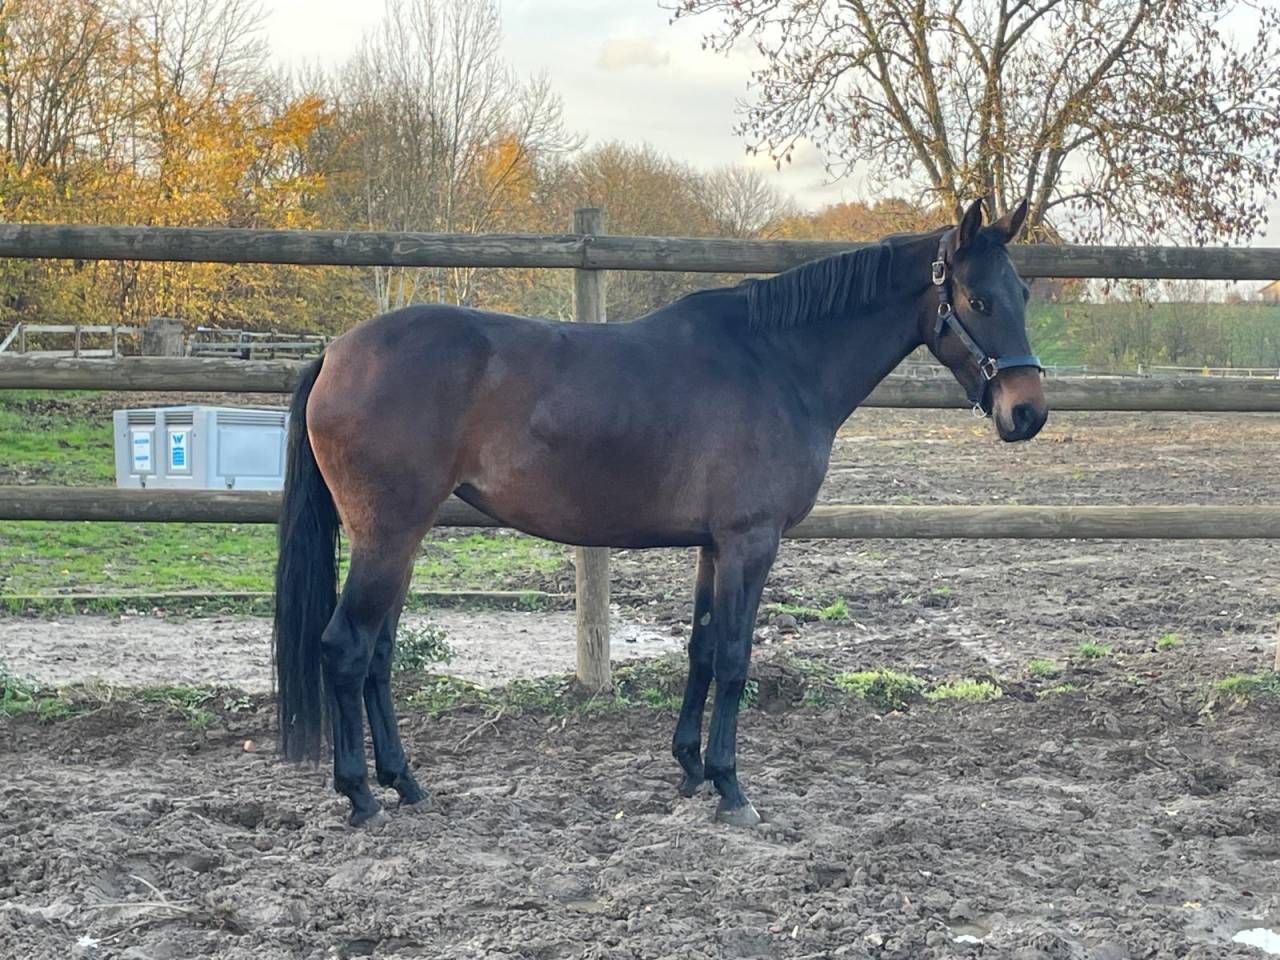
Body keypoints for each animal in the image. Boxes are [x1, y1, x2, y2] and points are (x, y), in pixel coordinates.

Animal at [272, 198, 1047, 827]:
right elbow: (733, 657)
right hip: (387, 536)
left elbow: (701, 649)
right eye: (978, 300)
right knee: (346, 648)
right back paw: (362, 796)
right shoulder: (750, 543)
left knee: (378, 654)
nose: (1028, 413)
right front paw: (732, 789)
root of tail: (336, 353)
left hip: (402, 540)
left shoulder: (713, 546)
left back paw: (405, 783)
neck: (777, 362)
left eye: (1022, 293)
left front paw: (691, 769)